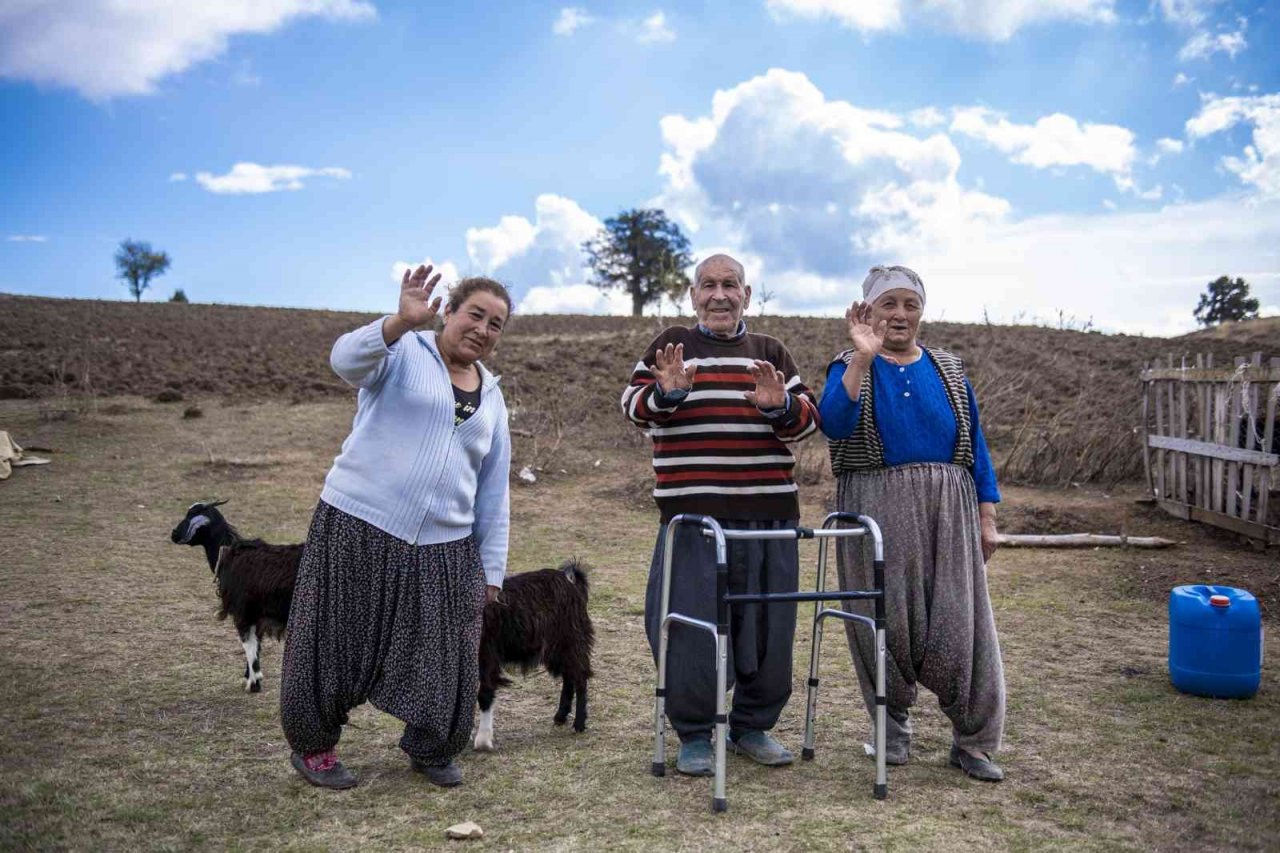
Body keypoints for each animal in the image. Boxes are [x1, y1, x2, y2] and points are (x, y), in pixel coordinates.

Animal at [170, 499, 299, 691]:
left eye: (189, 516)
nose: (174, 534)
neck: (227, 554)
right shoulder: (257, 615)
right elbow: (256, 645)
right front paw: (252, 677)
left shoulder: (243, 612)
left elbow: (248, 646)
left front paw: (253, 683)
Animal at [476, 560, 593, 747]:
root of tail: (572, 581)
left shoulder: (487, 654)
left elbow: (485, 693)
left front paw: (483, 740)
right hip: (557, 648)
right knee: (569, 676)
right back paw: (560, 716)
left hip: (572, 639)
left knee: (580, 677)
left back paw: (579, 724)